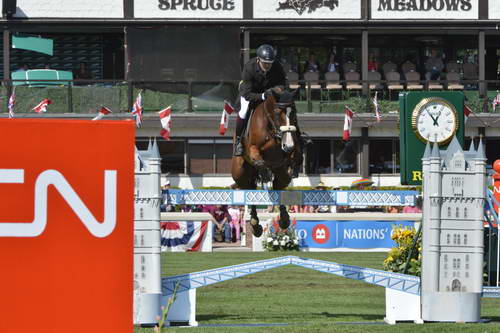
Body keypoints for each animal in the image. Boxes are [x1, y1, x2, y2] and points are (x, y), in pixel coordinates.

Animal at [230, 89, 300, 236]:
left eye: (294, 113)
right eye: (278, 112)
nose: (288, 145)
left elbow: (294, 154)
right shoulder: (253, 149)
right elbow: (260, 162)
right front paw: (265, 173)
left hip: (282, 174)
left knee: (278, 187)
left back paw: (284, 219)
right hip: (240, 174)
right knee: (249, 190)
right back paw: (255, 224)